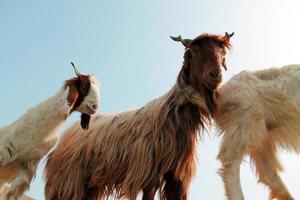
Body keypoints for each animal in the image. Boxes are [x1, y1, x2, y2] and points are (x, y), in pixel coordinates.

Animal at [44, 32, 232, 200]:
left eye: (222, 53)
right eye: (192, 52)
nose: (216, 75)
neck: (173, 115)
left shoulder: (176, 178)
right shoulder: (149, 175)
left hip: (90, 184)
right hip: (67, 182)